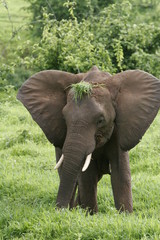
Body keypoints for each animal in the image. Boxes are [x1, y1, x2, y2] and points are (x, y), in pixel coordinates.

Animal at [16, 65, 160, 214]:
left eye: (100, 120)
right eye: (64, 118)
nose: (59, 211)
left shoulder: (120, 130)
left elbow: (121, 173)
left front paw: (125, 216)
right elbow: (87, 176)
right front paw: (90, 215)